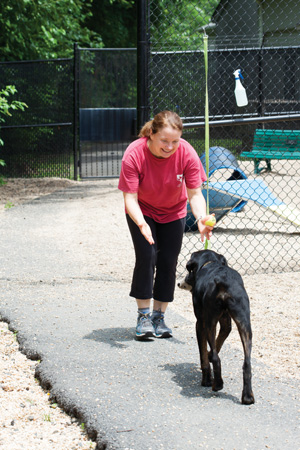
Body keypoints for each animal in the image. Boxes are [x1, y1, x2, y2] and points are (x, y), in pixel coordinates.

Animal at [179, 250, 254, 404]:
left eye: (190, 270)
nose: (185, 280)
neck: (210, 263)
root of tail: (222, 280)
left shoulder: (200, 324)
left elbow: (204, 356)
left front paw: (206, 380)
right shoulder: (226, 323)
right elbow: (219, 341)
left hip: (209, 323)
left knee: (215, 357)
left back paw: (217, 384)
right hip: (244, 323)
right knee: (247, 363)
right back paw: (247, 397)